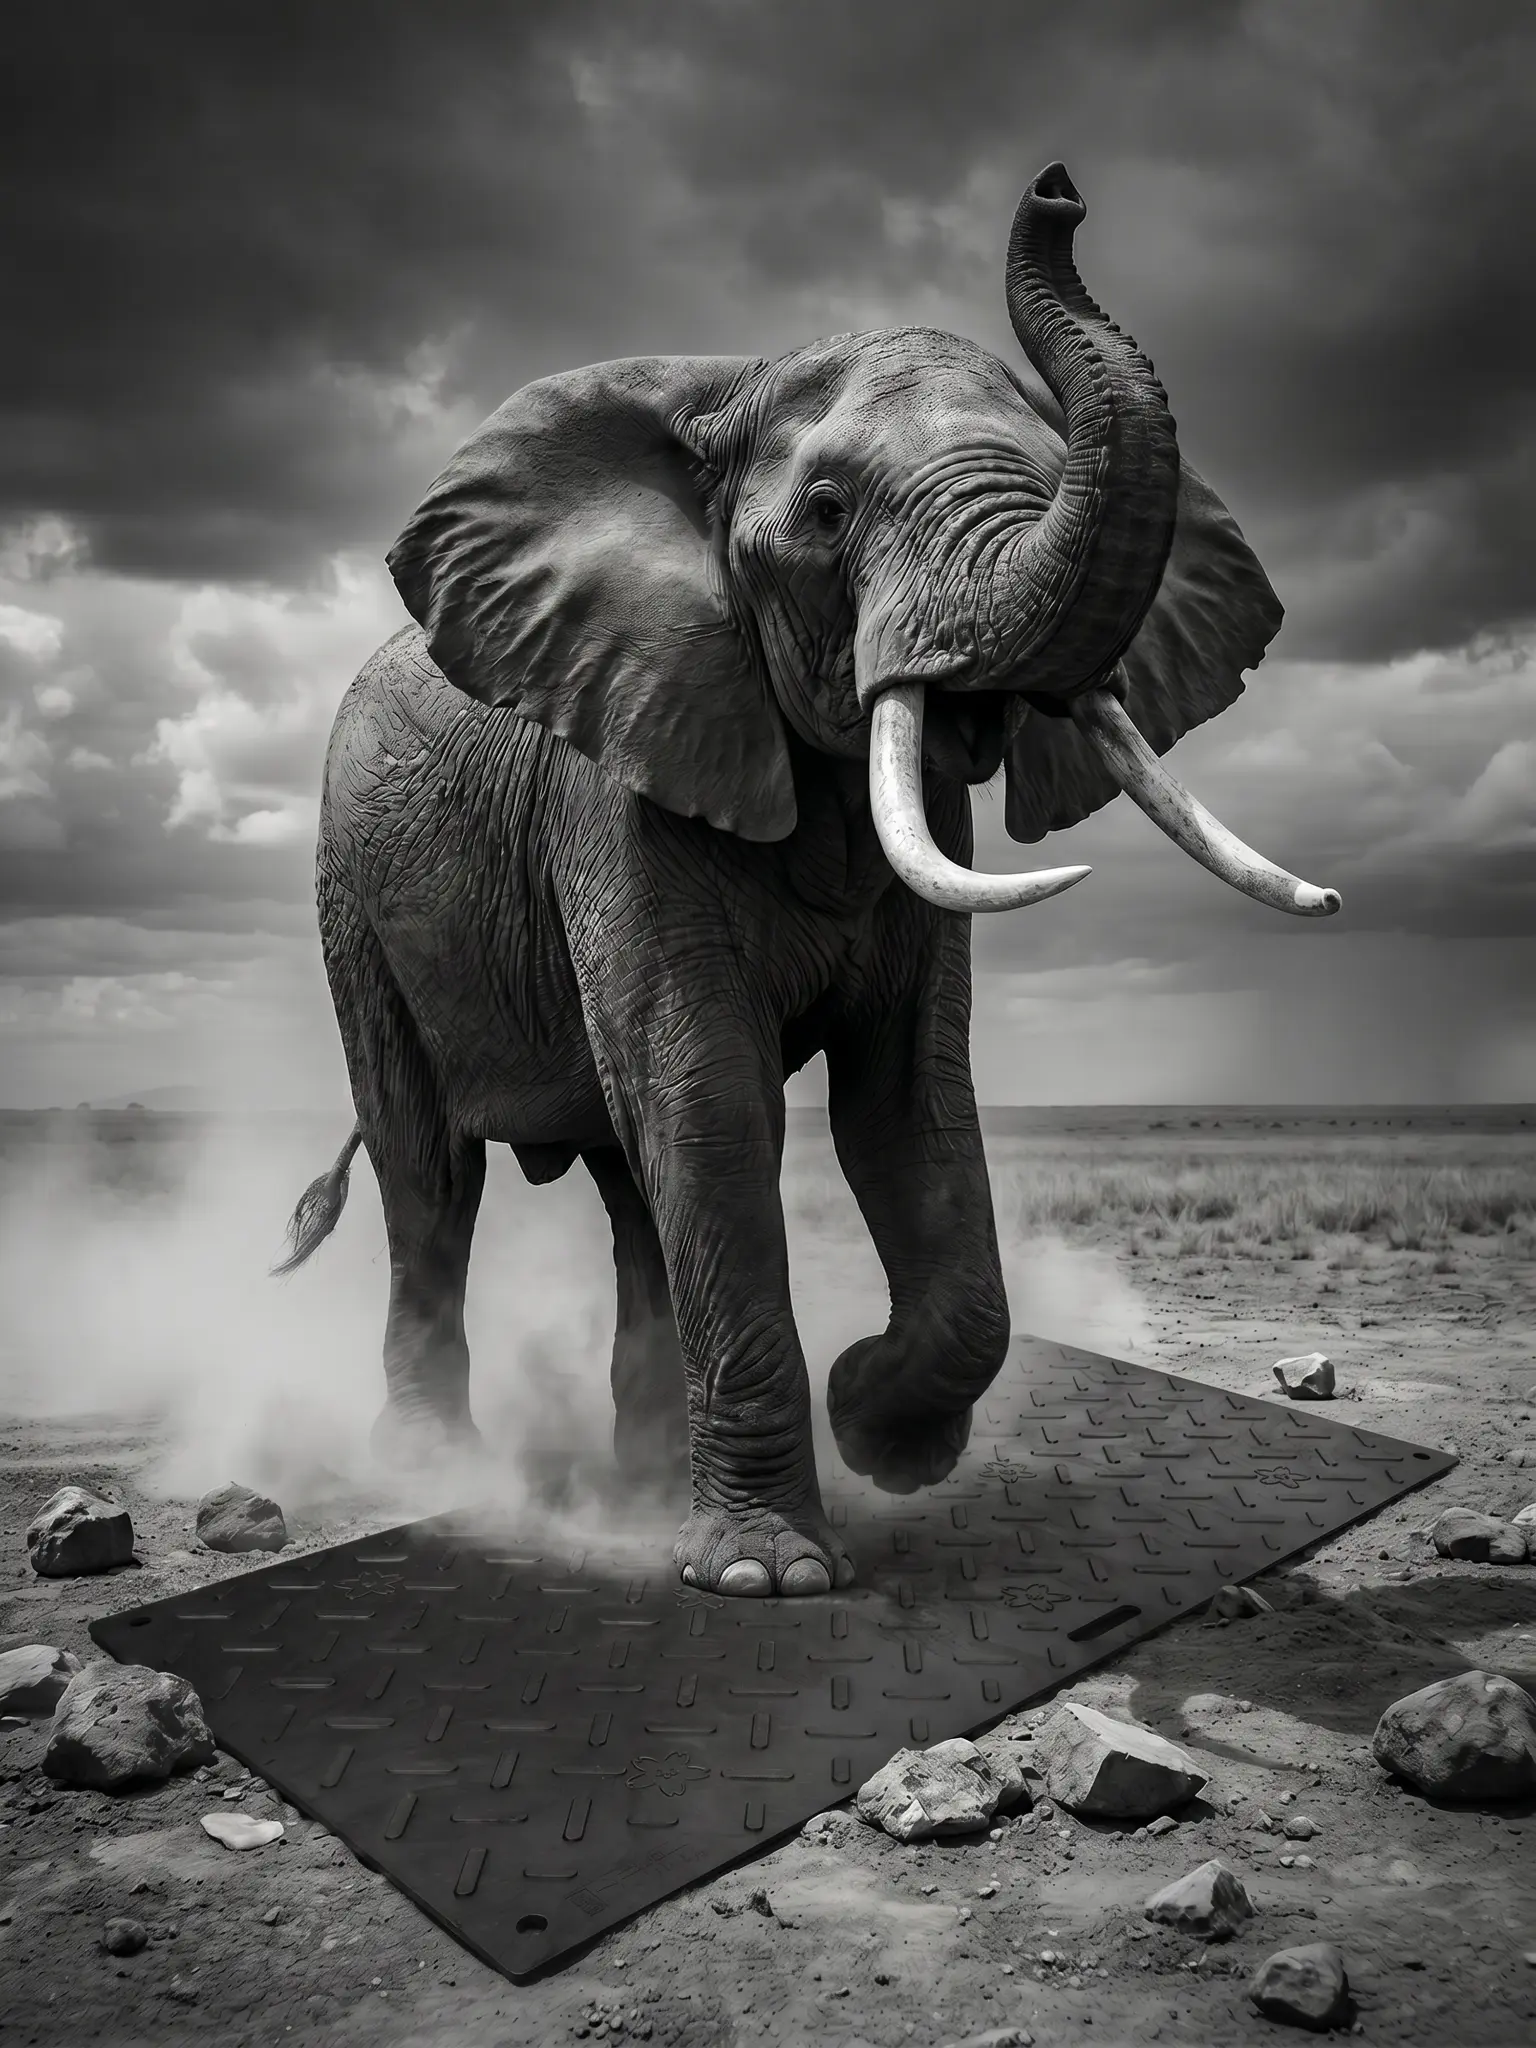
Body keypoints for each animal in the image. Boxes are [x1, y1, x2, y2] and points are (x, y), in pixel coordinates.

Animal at [280, 164, 1338, 1599]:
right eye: (830, 513)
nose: (1060, 190)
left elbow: (907, 1105)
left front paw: (882, 1429)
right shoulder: (618, 777)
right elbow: (715, 1103)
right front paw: (765, 1576)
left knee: (631, 1190)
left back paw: (639, 1480)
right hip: (355, 900)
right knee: (430, 1177)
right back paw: (439, 1474)